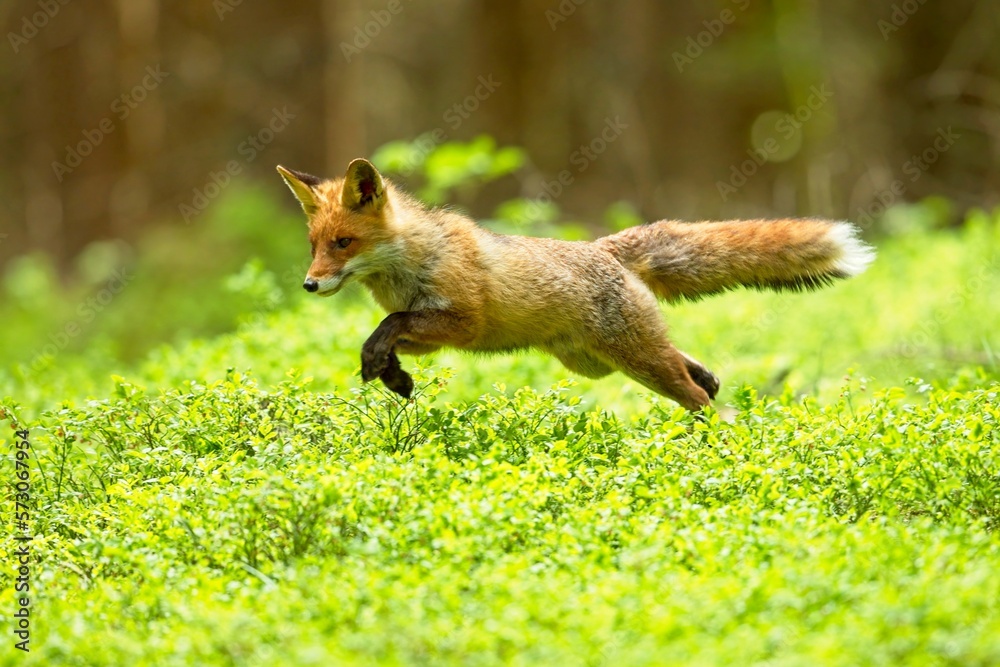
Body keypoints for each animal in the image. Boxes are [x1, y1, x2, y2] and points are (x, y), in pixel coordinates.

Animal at [276, 159, 875, 411]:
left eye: (344, 243)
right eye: (313, 244)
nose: (309, 285)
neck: (410, 264)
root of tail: (604, 248)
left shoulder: (463, 321)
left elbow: (390, 323)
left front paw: (384, 367)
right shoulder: (431, 333)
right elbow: (387, 334)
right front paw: (393, 375)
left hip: (633, 359)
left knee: (695, 394)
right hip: (598, 362)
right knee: (698, 372)